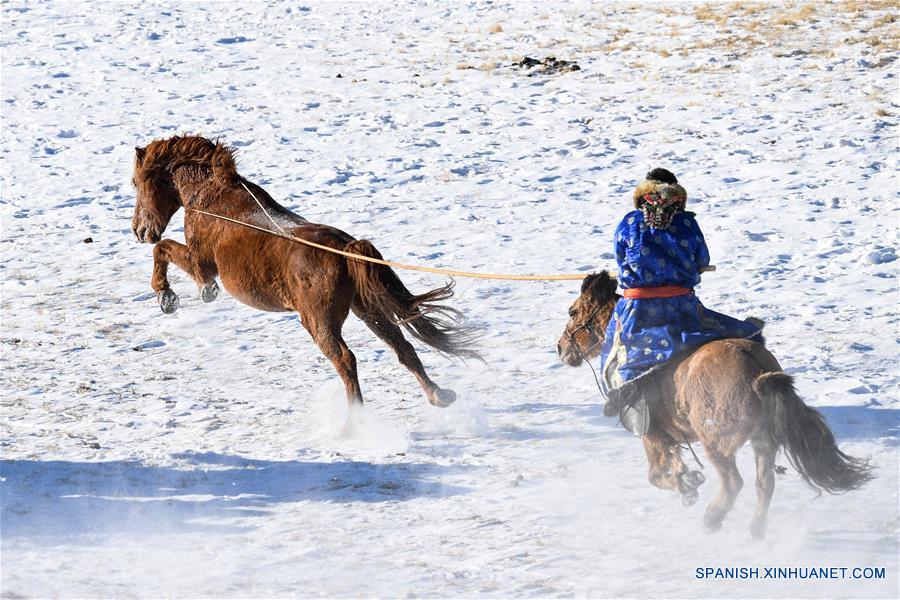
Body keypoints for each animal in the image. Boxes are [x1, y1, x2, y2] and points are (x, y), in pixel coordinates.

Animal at [130, 134, 478, 410]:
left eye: (136, 183)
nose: (139, 230)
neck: (210, 199)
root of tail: (346, 248)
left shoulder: (200, 261)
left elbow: (164, 251)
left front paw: (170, 296)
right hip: (368, 309)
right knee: (402, 346)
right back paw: (439, 395)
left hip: (319, 321)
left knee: (346, 359)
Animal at [556, 272, 872, 540]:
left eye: (572, 312)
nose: (561, 348)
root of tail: (758, 372)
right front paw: (687, 479)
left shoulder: (651, 434)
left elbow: (656, 476)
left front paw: (687, 486)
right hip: (763, 441)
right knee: (764, 485)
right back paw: (755, 530)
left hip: (716, 444)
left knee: (734, 483)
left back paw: (712, 518)